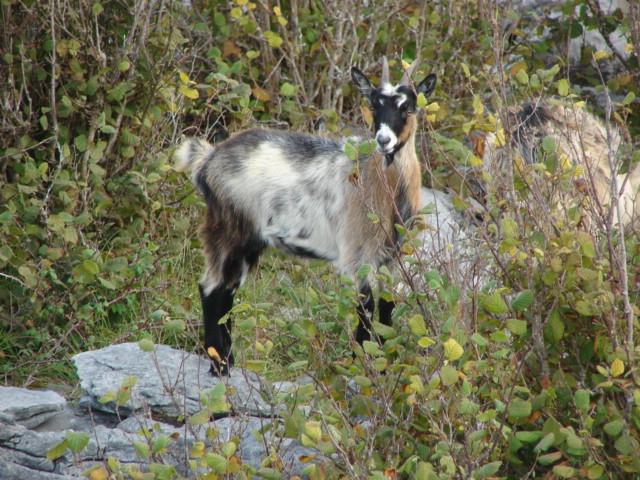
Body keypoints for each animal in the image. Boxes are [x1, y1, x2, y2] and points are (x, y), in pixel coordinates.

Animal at [175, 58, 436, 376]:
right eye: (374, 105)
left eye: (407, 106)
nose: (383, 140)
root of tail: (208, 159)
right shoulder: (356, 256)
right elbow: (365, 308)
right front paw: (363, 369)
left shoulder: (392, 259)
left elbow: (387, 308)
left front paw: (384, 366)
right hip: (228, 228)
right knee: (211, 288)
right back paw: (219, 365)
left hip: (249, 240)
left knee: (226, 290)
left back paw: (229, 360)